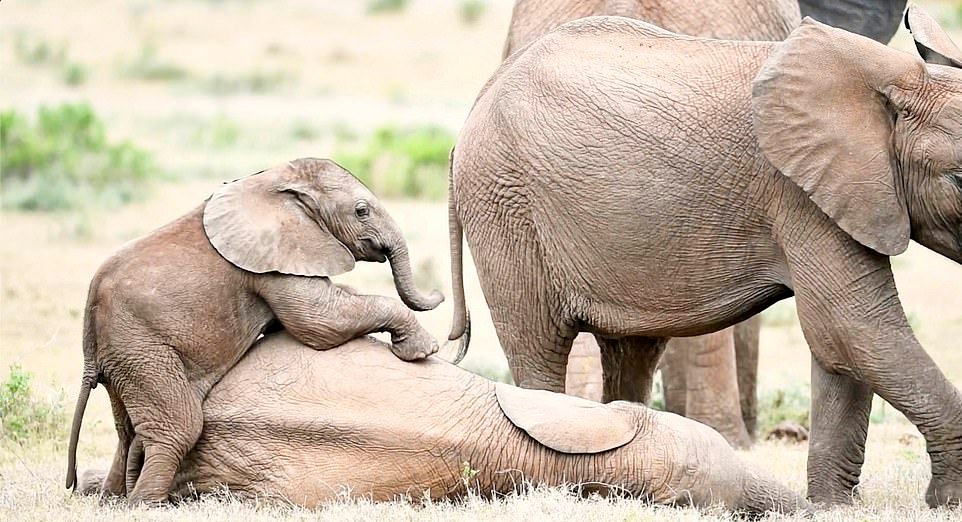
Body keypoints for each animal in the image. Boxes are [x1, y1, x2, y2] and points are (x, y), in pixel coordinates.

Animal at [65, 156, 444, 502]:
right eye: (361, 211)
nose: (438, 292)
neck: (274, 181)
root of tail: (89, 333)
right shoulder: (275, 260)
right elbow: (319, 323)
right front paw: (424, 349)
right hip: (143, 348)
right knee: (180, 427)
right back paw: (144, 503)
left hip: (125, 358)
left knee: (129, 431)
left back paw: (113, 497)